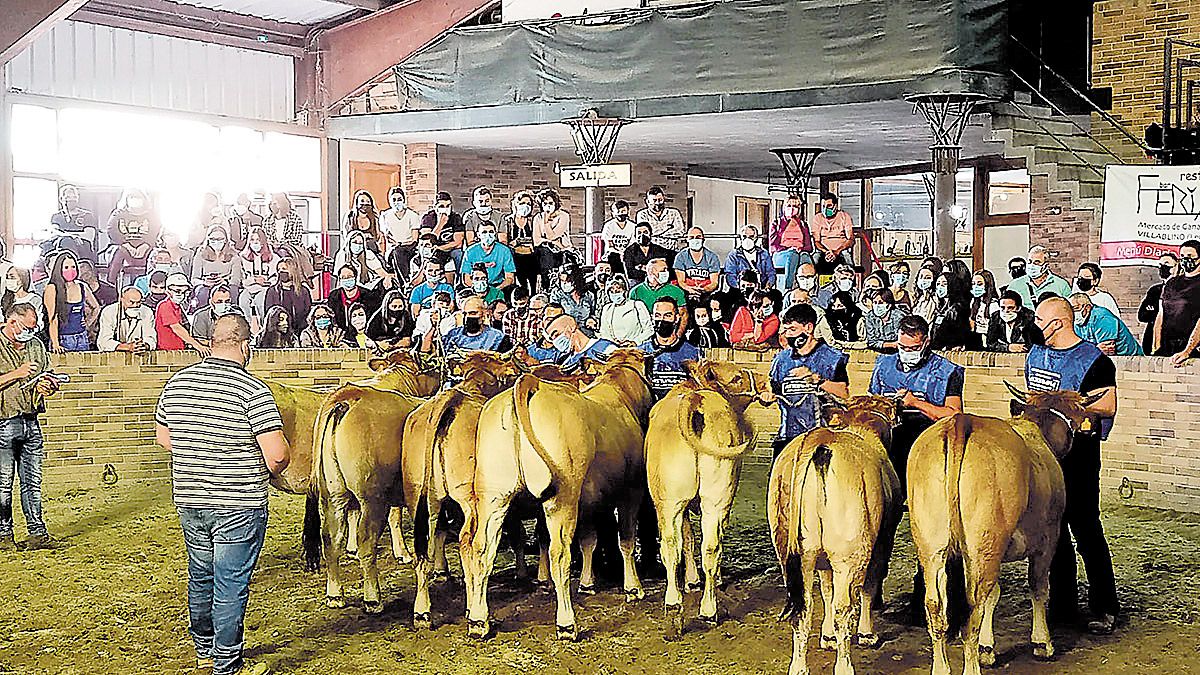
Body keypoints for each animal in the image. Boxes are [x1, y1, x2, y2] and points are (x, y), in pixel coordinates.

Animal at [463, 345, 652, 634]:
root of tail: (531, 382)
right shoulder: (631, 490)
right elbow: (626, 540)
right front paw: (633, 588)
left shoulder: (589, 500)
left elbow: (589, 540)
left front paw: (587, 582)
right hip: (561, 499)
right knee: (559, 554)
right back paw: (566, 623)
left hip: (494, 498)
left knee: (482, 549)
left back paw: (478, 619)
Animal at [768, 393, 902, 672]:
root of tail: (818, 443)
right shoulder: (882, 542)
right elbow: (869, 587)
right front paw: (867, 634)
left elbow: (826, 590)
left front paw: (827, 636)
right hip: (850, 554)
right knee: (843, 608)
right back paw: (844, 666)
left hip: (793, 553)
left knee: (804, 607)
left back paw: (799, 667)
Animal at [907, 384, 1099, 672]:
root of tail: (960, 422)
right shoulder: (1047, 537)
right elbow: (1038, 586)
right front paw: (1042, 643)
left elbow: (994, 594)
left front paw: (988, 648)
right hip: (984, 546)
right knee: (973, 609)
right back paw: (972, 668)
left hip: (933, 546)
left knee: (936, 606)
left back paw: (941, 668)